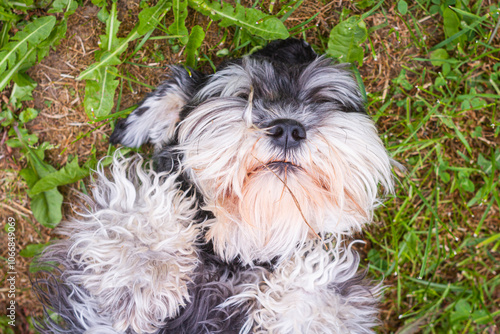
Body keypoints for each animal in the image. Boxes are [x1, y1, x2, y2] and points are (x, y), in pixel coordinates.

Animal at [33, 37, 396, 332]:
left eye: (323, 100)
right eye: (243, 94)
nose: (288, 129)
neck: (235, 257)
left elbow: (317, 292)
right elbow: (138, 211)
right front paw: (148, 275)